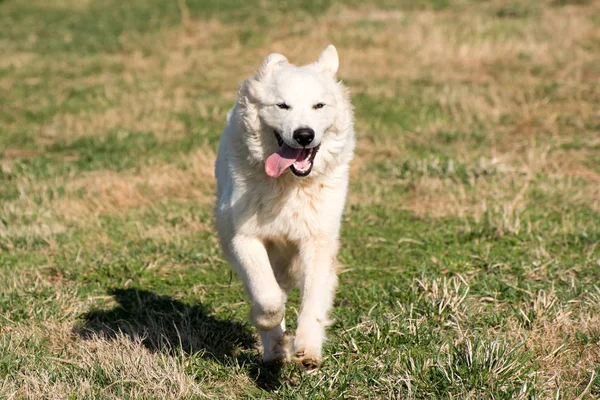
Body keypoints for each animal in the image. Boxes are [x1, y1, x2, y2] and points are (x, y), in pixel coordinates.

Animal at [214, 44, 354, 368]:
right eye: (282, 106)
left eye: (318, 106)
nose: (304, 135)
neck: (290, 185)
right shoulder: (244, 239)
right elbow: (267, 297)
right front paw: (267, 323)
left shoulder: (317, 242)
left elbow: (312, 300)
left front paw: (308, 350)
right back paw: (275, 349)